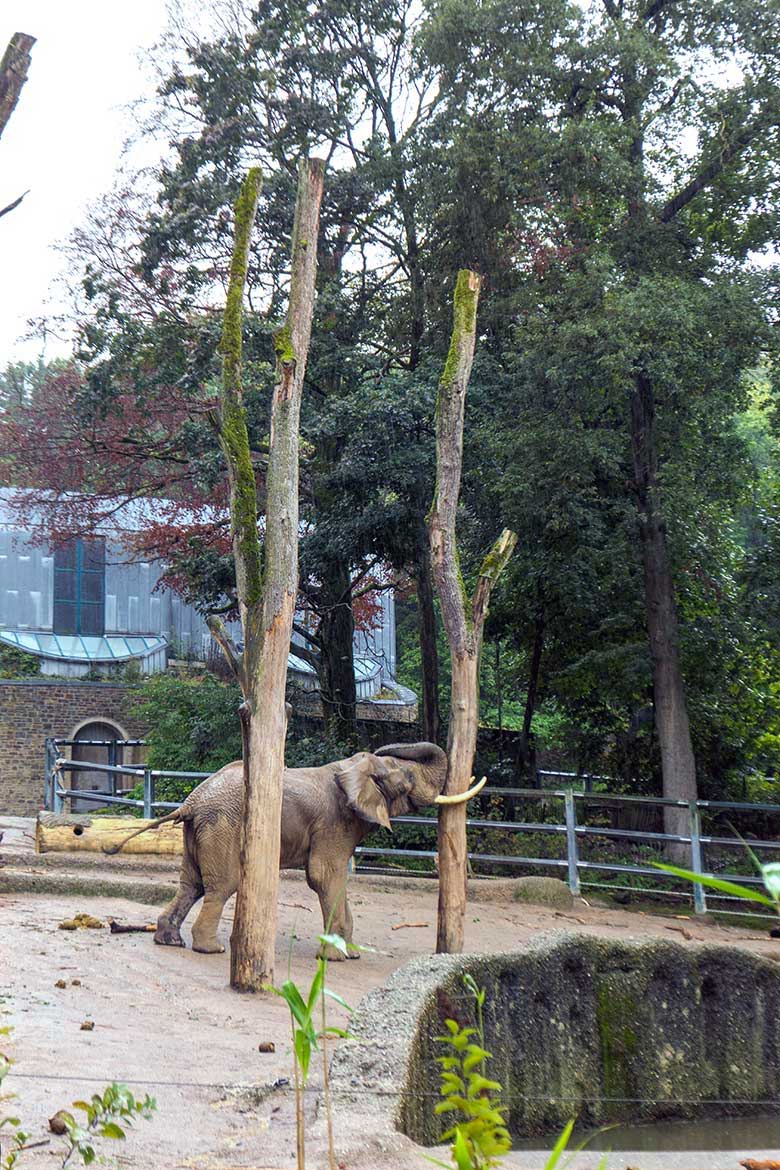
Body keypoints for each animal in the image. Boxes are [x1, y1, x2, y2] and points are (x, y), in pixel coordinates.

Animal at [103, 744, 481, 954]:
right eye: (407, 781)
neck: (351, 769)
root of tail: (191, 802)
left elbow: (337, 878)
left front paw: (350, 951)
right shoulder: (334, 821)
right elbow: (323, 876)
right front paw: (336, 957)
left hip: (199, 832)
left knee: (190, 885)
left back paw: (170, 941)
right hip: (222, 826)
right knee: (222, 886)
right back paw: (211, 949)